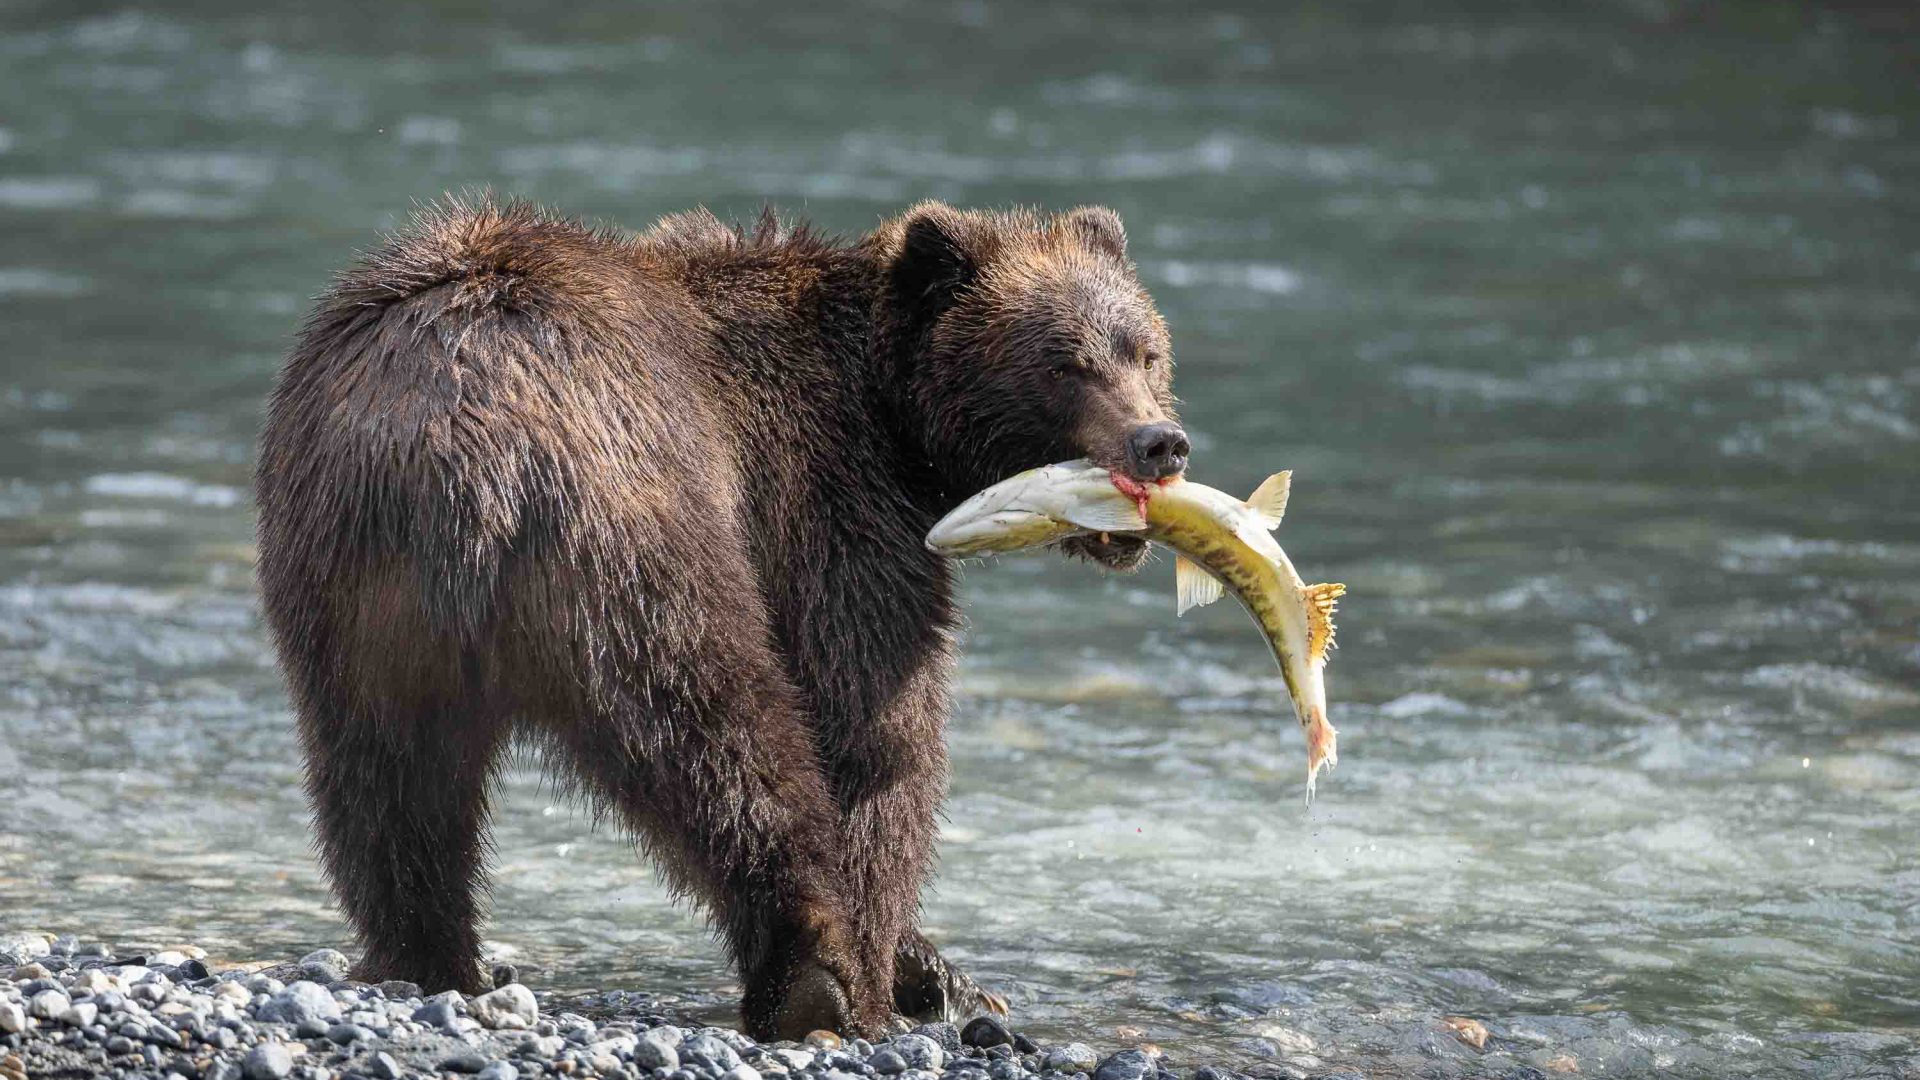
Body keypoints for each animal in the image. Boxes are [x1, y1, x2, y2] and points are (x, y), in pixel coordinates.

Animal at [253, 195, 1188, 1040]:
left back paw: (425, 959)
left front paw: (939, 971)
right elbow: (874, 736)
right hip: (638, 534)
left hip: (354, 587)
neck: (896, 424)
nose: (1159, 442)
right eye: (1064, 363)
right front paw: (900, 966)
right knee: (721, 733)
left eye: (1145, 350)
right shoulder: (832, 508)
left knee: (384, 781)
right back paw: (818, 977)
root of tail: (468, 446)